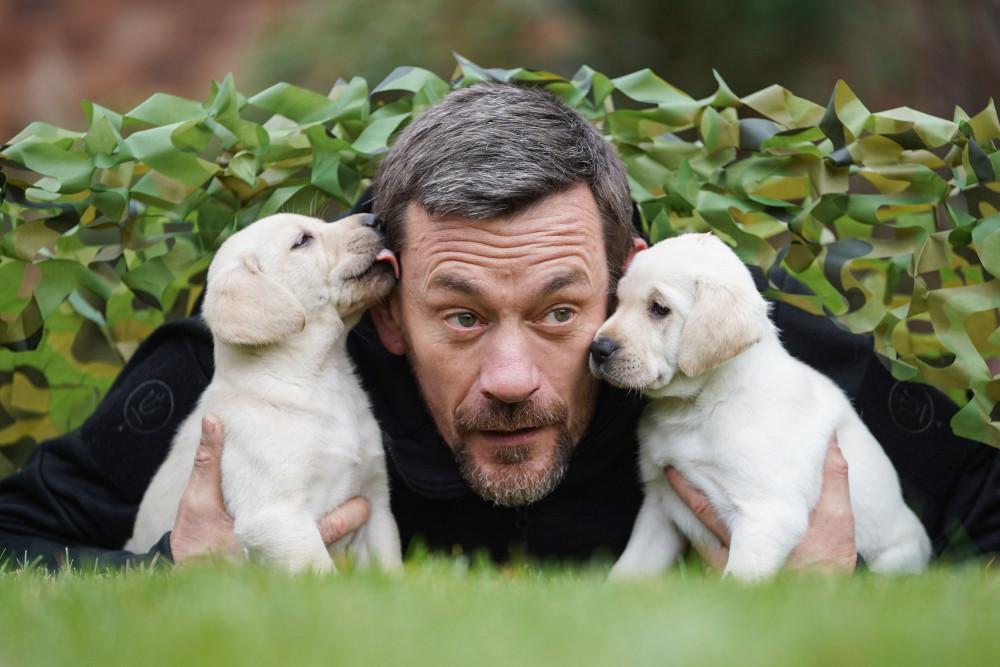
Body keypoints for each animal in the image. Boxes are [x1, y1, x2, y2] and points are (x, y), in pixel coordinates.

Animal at [126, 214, 402, 576]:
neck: (322, 377)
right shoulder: (275, 516)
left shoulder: (377, 505)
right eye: (302, 241)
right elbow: (319, 570)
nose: (375, 218)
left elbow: (389, 566)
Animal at [592, 234, 928, 580]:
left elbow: (737, 581)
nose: (598, 349)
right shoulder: (660, 504)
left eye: (659, 309)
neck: (696, 406)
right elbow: (627, 571)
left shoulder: (768, 514)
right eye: (617, 300)